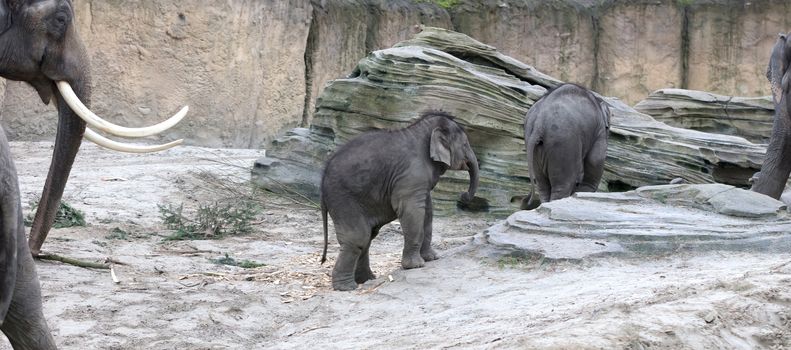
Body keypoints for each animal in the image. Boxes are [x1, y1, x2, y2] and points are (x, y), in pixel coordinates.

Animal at [318, 111, 480, 290]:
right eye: (465, 144)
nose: (463, 195)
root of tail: (322, 177)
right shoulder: (410, 176)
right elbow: (412, 211)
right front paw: (415, 266)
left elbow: (427, 214)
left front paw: (431, 258)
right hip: (343, 198)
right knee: (358, 238)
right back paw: (347, 287)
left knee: (368, 236)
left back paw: (367, 280)